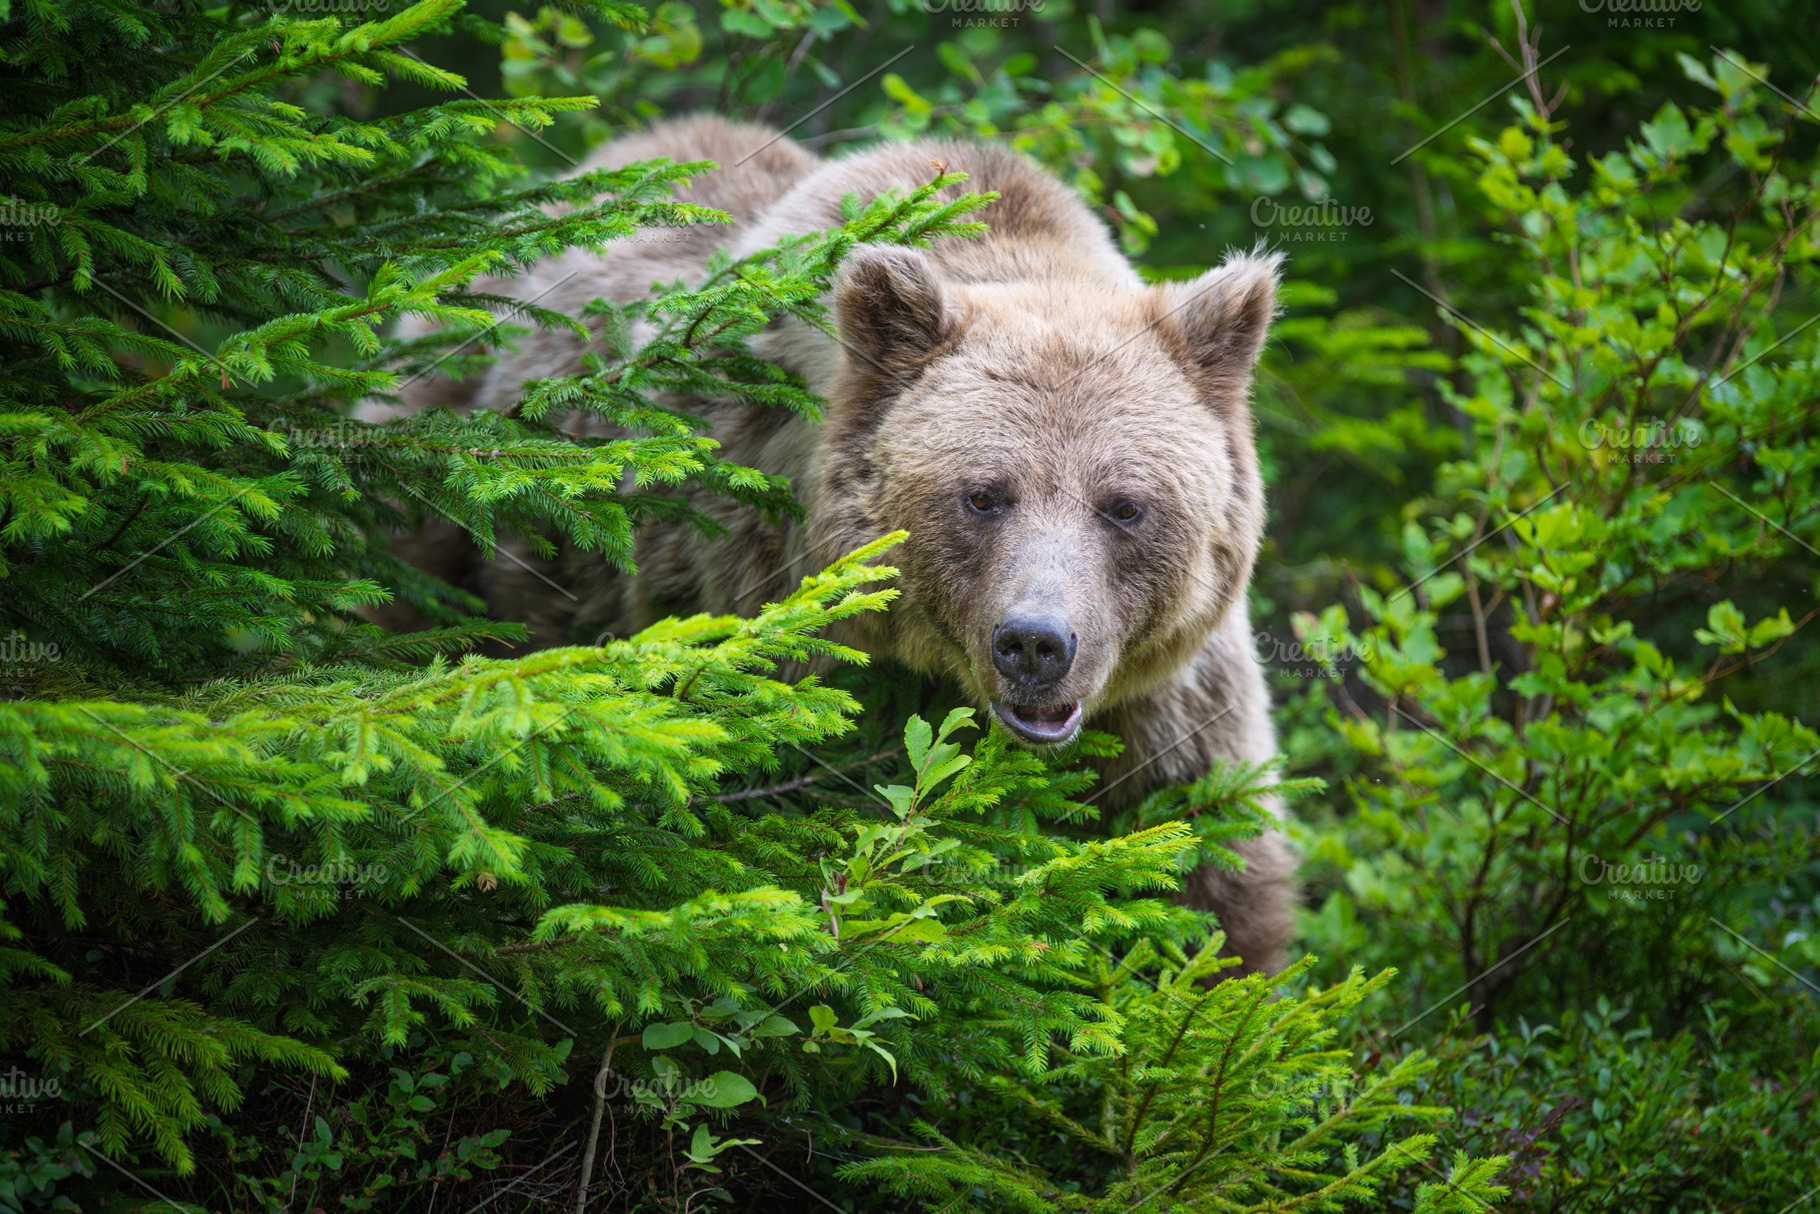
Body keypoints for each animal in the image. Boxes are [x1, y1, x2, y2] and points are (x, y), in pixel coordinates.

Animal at [366, 115, 1297, 976]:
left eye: (1124, 506)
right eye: (983, 494)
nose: (1035, 644)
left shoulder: (1167, 706)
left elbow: (1213, 879)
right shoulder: (768, 612)